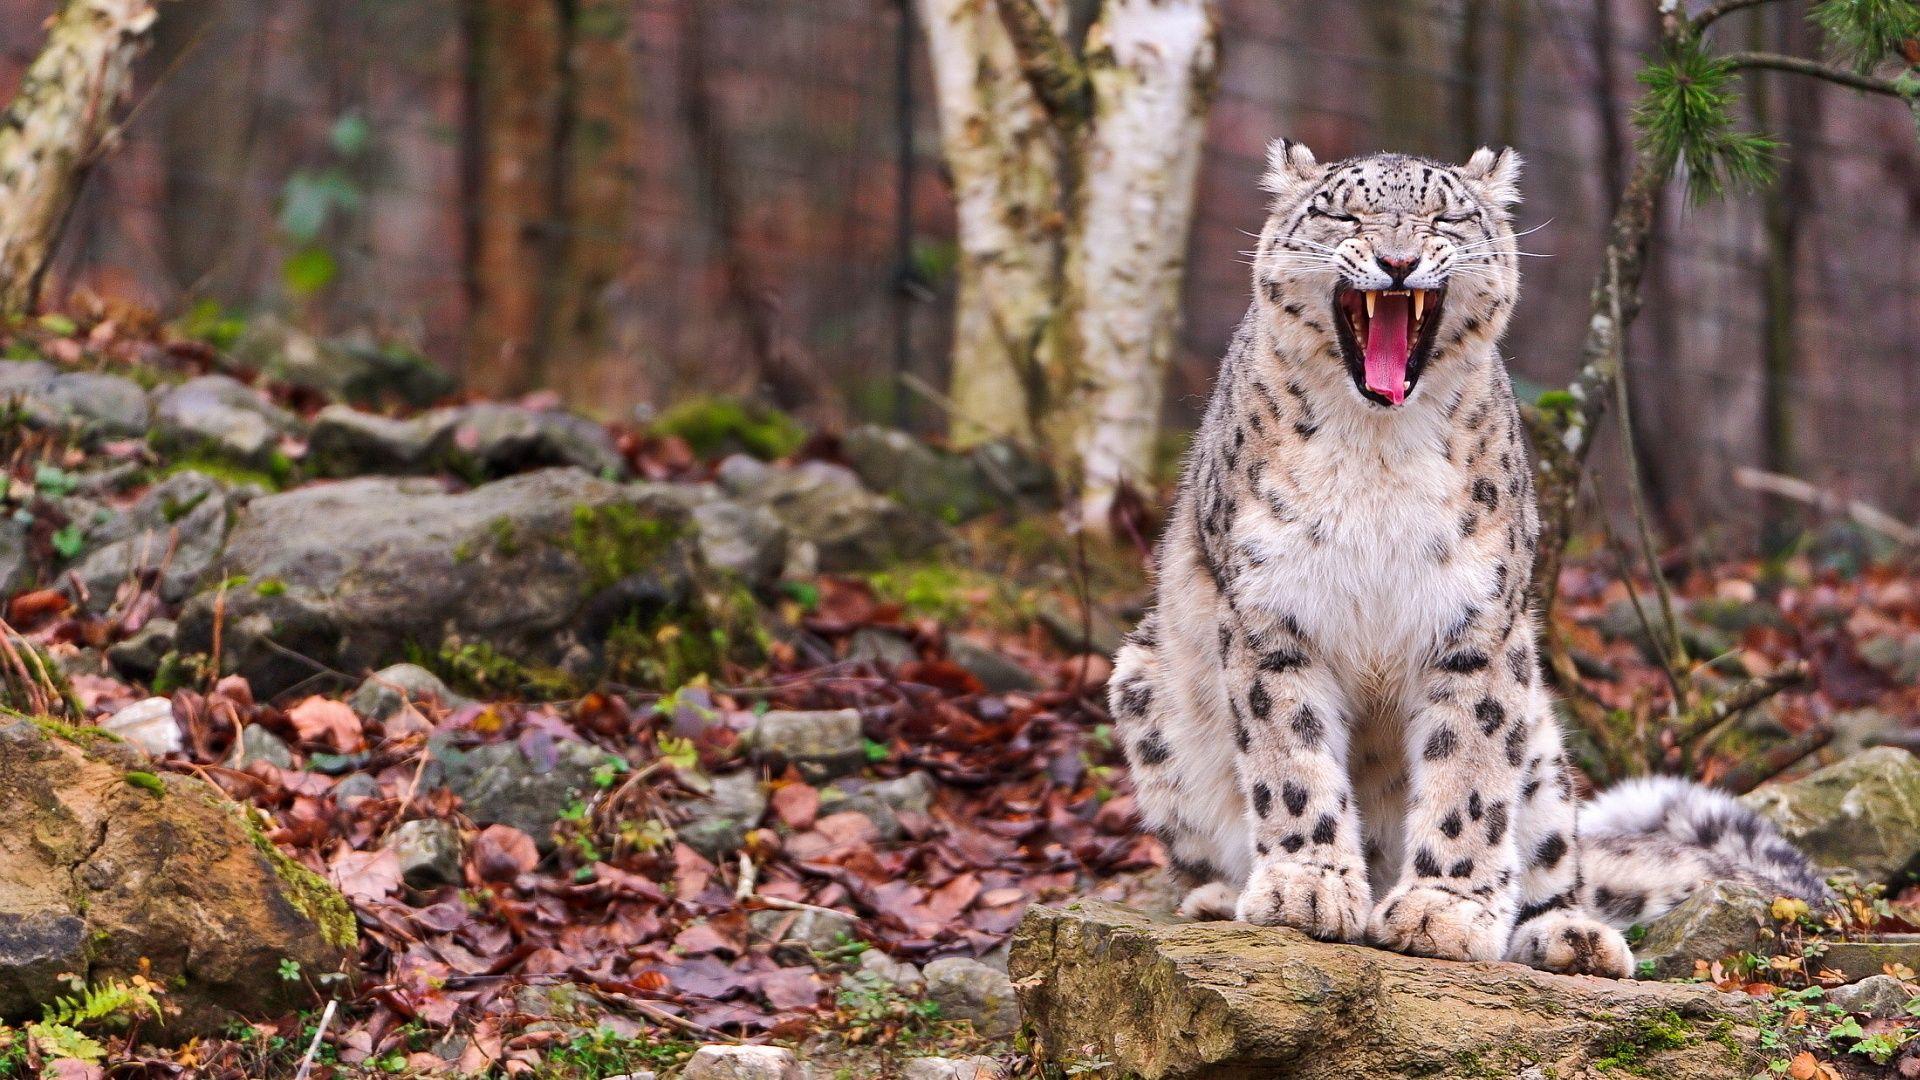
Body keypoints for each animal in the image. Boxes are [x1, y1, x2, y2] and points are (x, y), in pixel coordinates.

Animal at [1108, 141, 1829, 977]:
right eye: (1343, 213)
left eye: (1445, 217)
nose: (1397, 260)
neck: (1379, 449)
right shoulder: (1272, 614)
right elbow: (1292, 758)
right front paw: (1307, 889)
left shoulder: (1477, 622)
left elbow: (1470, 773)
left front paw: (1442, 912)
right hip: (1144, 685)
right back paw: (1223, 896)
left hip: (1543, 744)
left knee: (1554, 859)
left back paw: (1571, 936)